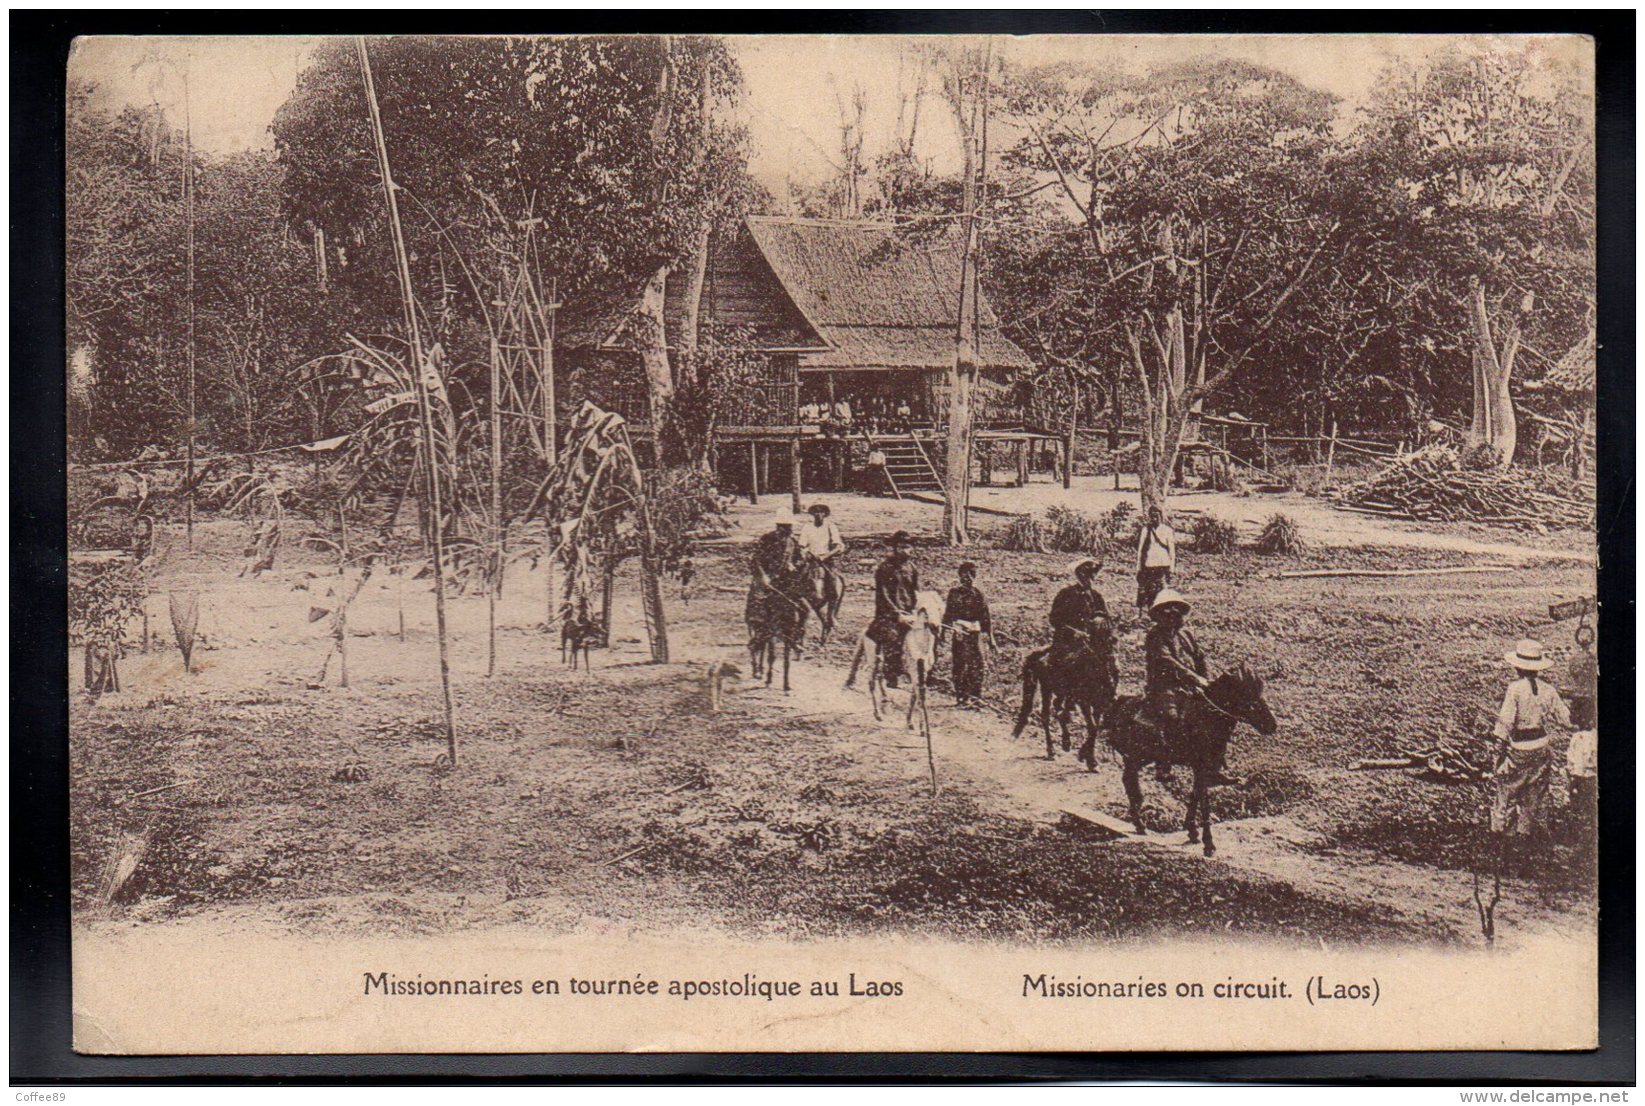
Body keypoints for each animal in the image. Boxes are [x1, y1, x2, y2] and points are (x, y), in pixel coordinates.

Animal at [1006, 625, 1125, 763]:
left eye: (1116, 641)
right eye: (1101, 642)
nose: (1115, 669)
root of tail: (1043, 652)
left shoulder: (1098, 704)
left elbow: (1095, 727)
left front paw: (1086, 754)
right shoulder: (1084, 701)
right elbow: (1093, 727)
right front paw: (1089, 759)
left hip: (1063, 693)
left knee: (1060, 711)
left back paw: (1065, 741)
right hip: (1047, 687)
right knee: (1046, 715)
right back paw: (1052, 750)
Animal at [1105, 661, 1283, 862]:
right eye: (1246, 693)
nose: (1271, 725)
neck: (1206, 719)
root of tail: (1120, 704)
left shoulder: (1202, 769)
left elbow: (1195, 795)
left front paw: (1192, 831)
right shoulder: (1201, 767)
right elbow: (1204, 803)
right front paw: (1209, 844)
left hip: (1143, 757)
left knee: (1129, 780)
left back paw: (1139, 822)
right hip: (1135, 756)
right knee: (1129, 781)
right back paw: (1139, 822)